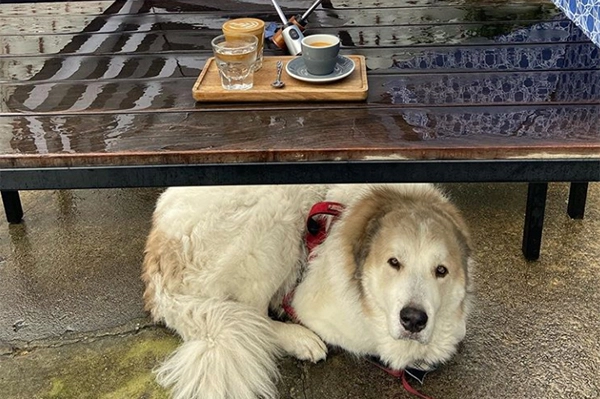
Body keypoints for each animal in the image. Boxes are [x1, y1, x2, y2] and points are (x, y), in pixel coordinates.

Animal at [142, 184, 474, 399]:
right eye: (394, 262)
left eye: (441, 271)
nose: (414, 319)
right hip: (276, 212)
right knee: (253, 315)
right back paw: (298, 338)